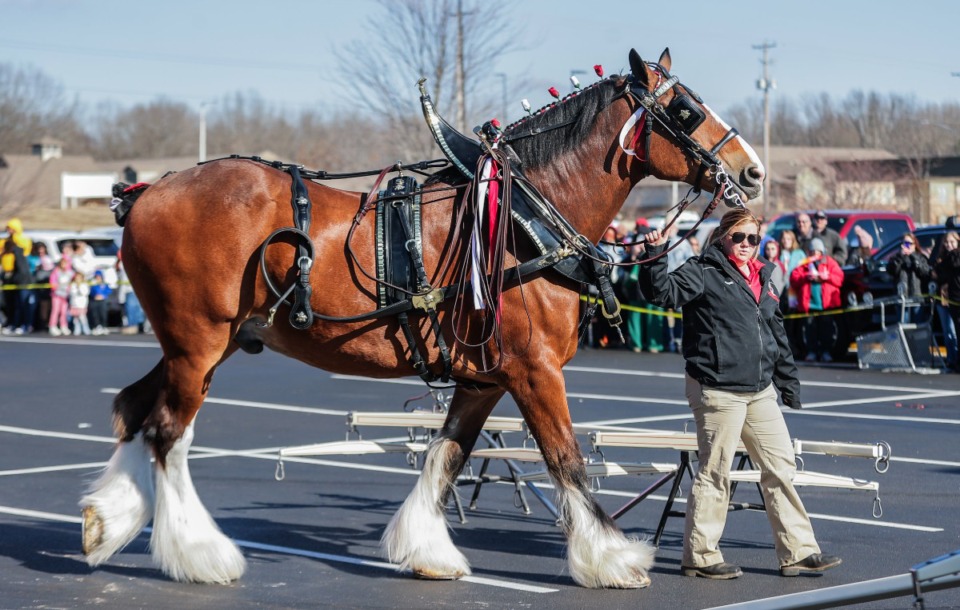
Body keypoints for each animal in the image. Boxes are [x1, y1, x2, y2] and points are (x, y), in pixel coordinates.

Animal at [79, 50, 760, 588]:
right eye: (684, 111)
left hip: (199, 346)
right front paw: (611, 560)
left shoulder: (484, 377)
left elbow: (447, 455)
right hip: (198, 344)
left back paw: (105, 522)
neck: (525, 218)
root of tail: (148, 191)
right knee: (168, 433)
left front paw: (426, 549)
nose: (751, 171)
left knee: (137, 410)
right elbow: (566, 459)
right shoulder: (535, 371)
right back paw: (199, 554)